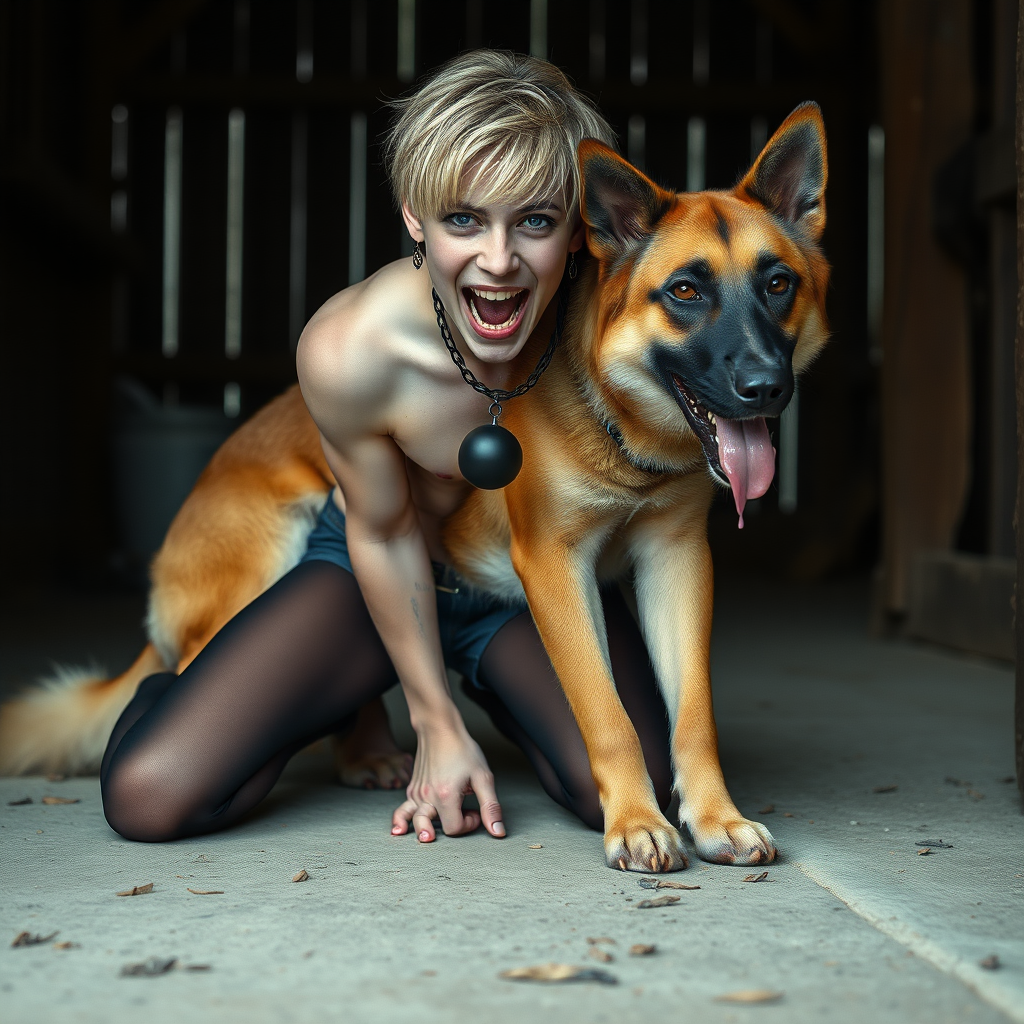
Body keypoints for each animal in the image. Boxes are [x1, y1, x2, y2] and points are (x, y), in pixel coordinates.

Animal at [0, 105, 823, 872]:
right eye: (684, 291)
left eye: (778, 284)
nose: (766, 388)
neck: (617, 423)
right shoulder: (556, 567)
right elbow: (610, 716)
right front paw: (637, 821)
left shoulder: (677, 560)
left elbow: (693, 716)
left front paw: (715, 816)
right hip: (275, 554)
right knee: (175, 681)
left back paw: (365, 751)